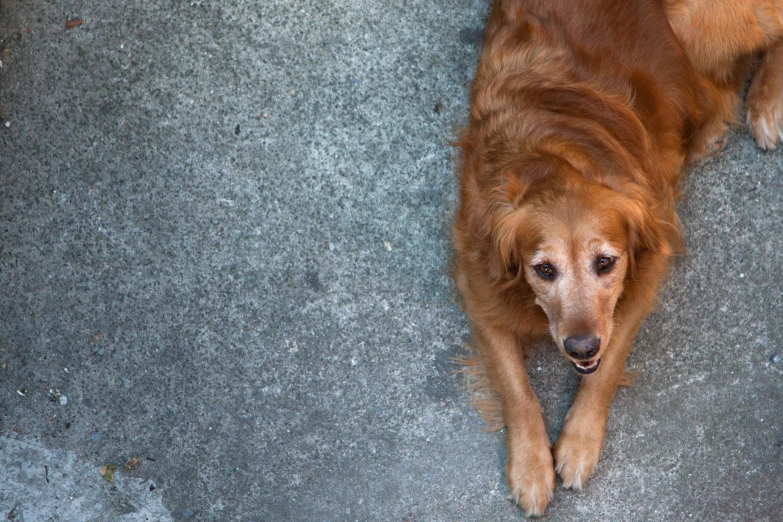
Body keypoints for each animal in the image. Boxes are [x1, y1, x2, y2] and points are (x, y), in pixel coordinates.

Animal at [454, 0, 783, 512]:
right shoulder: (478, 284)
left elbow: (607, 366)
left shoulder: (647, 269)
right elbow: (515, 387)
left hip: (698, 23)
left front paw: (578, 443)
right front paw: (530, 468)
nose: (580, 347)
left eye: (605, 263)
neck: (552, 154)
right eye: (543, 270)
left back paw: (764, 105)